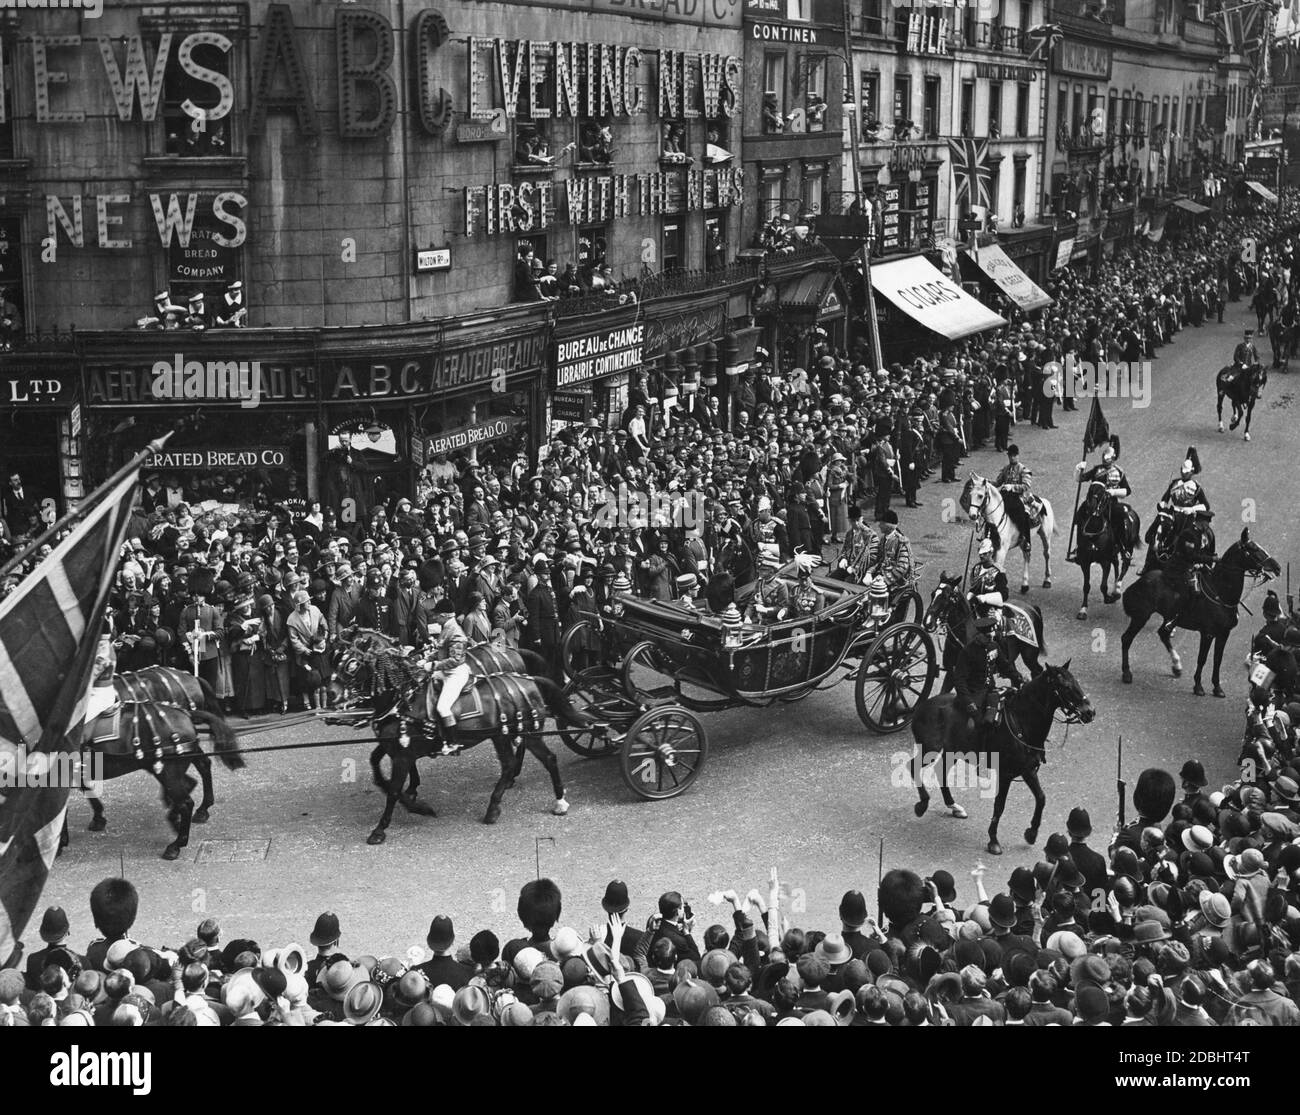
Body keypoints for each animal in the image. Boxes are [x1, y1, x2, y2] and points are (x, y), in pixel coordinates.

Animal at [332, 626, 600, 842]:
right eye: (337, 658)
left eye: (351, 663)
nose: (332, 696)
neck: (404, 697)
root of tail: (528, 679)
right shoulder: (394, 746)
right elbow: (378, 771)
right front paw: (416, 804)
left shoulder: (403, 755)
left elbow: (394, 790)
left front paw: (381, 828)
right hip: (503, 735)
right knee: (529, 761)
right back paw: (537, 802)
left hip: (522, 733)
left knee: (535, 759)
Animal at [909, 660, 1092, 852]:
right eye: (1065, 686)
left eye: (1076, 682)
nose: (1090, 712)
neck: (1022, 722)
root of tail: (922, 706)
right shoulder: (1006, 774)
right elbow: (999, 805)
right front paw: (993, 840)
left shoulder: (1027, 770)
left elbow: (1041, 798)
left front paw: (1032, 833)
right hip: (930, 749)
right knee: (912, 766)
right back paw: (923, 803)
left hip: (952, 752)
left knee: (940, 771)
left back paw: (954, 806)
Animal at [1071, 478, 1144, 615]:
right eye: (1090, 489)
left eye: (1103, 492)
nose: (1091, 506)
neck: (1094, 533)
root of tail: (1130, 511)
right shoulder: (1085, 562)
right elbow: (1086, 586)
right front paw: (1083, 610)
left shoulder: (1105, 561)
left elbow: (1103, 586)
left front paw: (1109, 598)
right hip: (1114, 552)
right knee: (1116, 563)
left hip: (1128, 547)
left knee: (1125, 564)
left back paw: (1117, 589)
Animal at [1118, 522, 1279, 696]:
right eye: (1253, 549)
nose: (1277, 567)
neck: (1221, 593)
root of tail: (1139, 582)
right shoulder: (1207, 633)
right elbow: (1202, 659)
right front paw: (1198, 686)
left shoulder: (1224, 634)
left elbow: (1217, 660)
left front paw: (1217, 688)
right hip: (1140, 617)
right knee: (1127, 639)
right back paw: (1127, 673)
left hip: (1168, 617)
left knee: (1163, 633)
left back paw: (1176, 666)